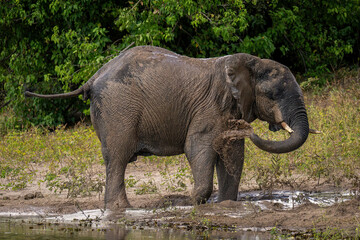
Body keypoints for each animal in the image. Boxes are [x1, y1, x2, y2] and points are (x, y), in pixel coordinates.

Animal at [25, 45, 312, 210]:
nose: (246, 129)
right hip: (118, 109)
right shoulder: (209, 109)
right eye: (272, 95)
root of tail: (93, 77)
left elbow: (233, 155)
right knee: (118, 157)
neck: (251, 63)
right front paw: (191, 203)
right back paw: (122, 210)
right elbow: (198, 147)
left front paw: (226, 204)